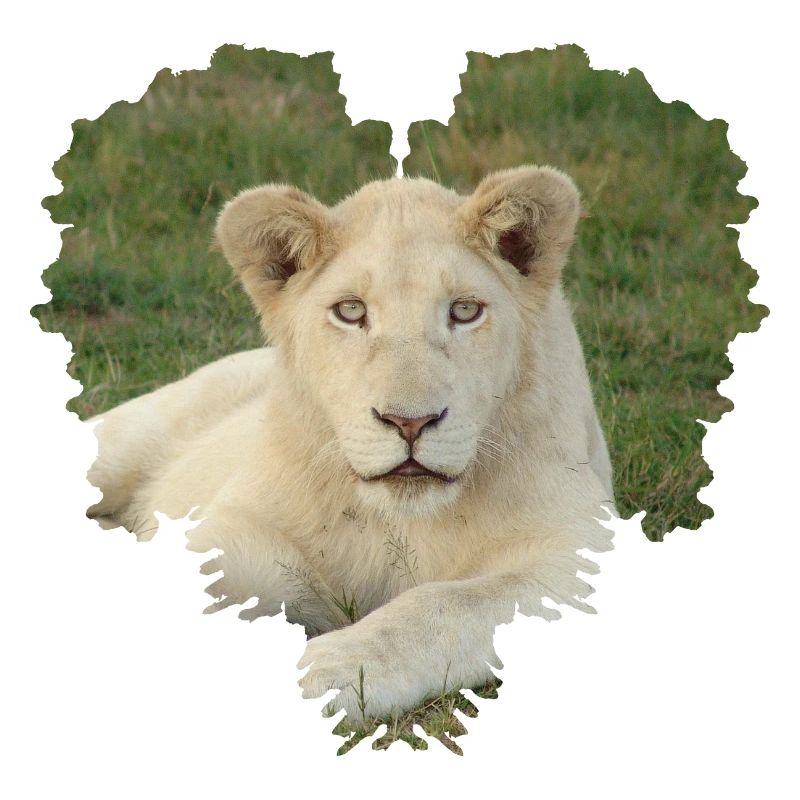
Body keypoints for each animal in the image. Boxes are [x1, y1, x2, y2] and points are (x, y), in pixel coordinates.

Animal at [87, 165, 615, 721]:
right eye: (350, 311)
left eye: (465, 310)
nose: (409, 422)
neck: (400, 522)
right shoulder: (243, 530)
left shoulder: (582, 545)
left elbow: (448, 604)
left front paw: (327, 670)